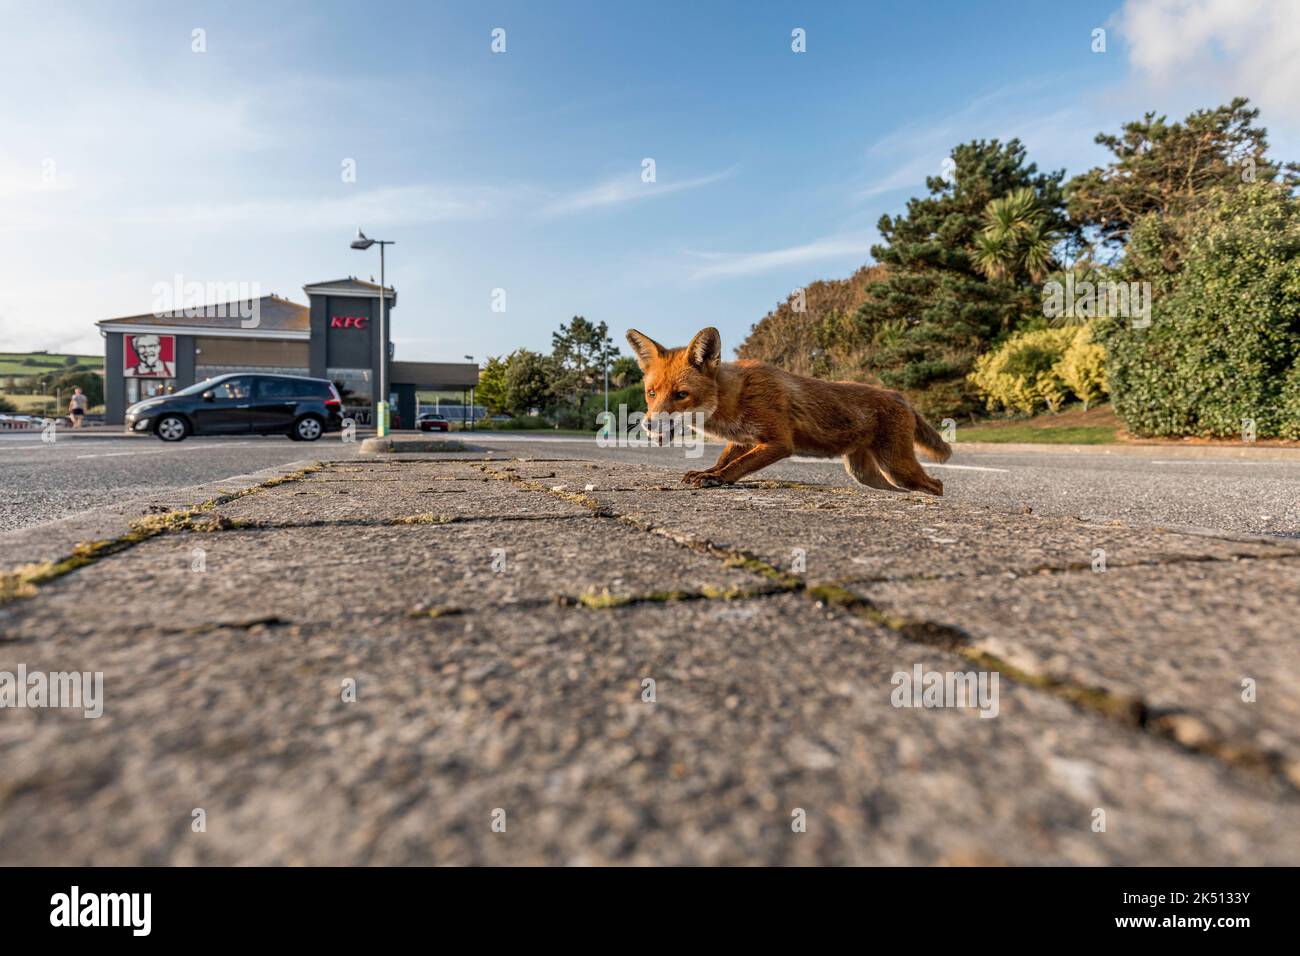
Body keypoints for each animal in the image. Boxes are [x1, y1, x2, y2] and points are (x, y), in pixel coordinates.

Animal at [625, 326, 951, 495]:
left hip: (897, 467)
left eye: (681, 395)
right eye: (652, 394)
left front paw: (717, 479)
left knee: (936, 484)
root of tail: (899, 395)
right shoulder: (743, 439)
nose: (648, 425)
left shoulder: (779, 442)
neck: (736, 397)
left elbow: (738, 466)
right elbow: (724, 460)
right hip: (868, 475)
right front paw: (707, 472)